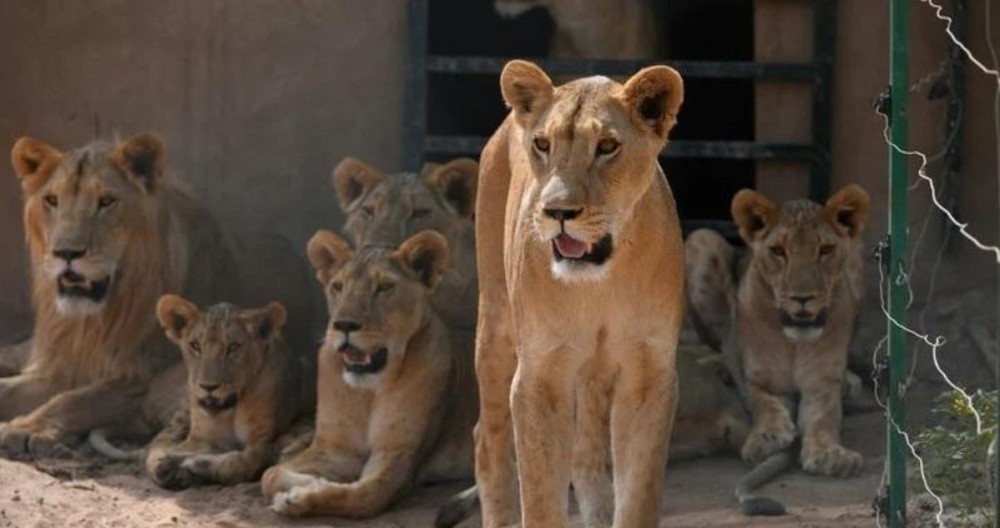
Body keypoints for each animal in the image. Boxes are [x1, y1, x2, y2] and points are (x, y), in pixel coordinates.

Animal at [258, 231, 476, 520]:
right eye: (338, 286)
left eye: (384, 287)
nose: (343, 325)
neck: (368, 391)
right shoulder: (335, 449)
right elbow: (270, 475)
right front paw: (310, 481)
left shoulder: (398, 454)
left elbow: (364, 497)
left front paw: (304, 496)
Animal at [464, 62, 684, 528]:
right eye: (542, 144)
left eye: (607, 146)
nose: (558, 212)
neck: (598, 285)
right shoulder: (540, 376)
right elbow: (541, 497)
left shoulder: (648, 373)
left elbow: (638, 495)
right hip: (495, 328)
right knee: (486, 441)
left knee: (586, 455)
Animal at [684, 186, 872, 482]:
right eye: (778, 251)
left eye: (825, 250)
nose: (802, 298)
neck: (793, 342)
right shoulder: (763, 381)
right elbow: (764, 404)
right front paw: (765, 436)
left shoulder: (821, 385)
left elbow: (823, 419)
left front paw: (829, 453)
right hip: (701, 239)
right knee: (720, 345)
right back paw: (718, 366)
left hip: (856, 249)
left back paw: (850, 380)